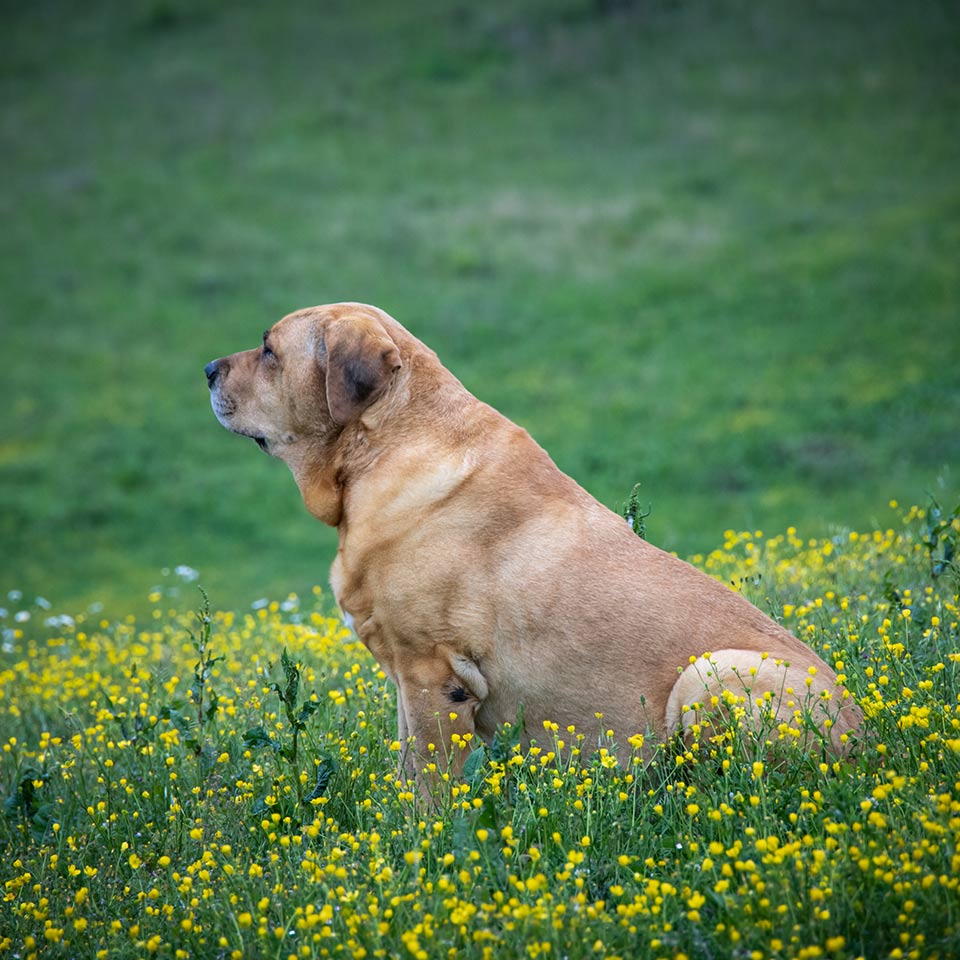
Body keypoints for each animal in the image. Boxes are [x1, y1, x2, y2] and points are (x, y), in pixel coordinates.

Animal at [206, 304, 868, 784]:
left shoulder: (431, 671)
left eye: (269, 350)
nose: (208, 368)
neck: (384, 447)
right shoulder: (407, 677)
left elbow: (426, 782)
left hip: (708, 673)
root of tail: (867, 743)